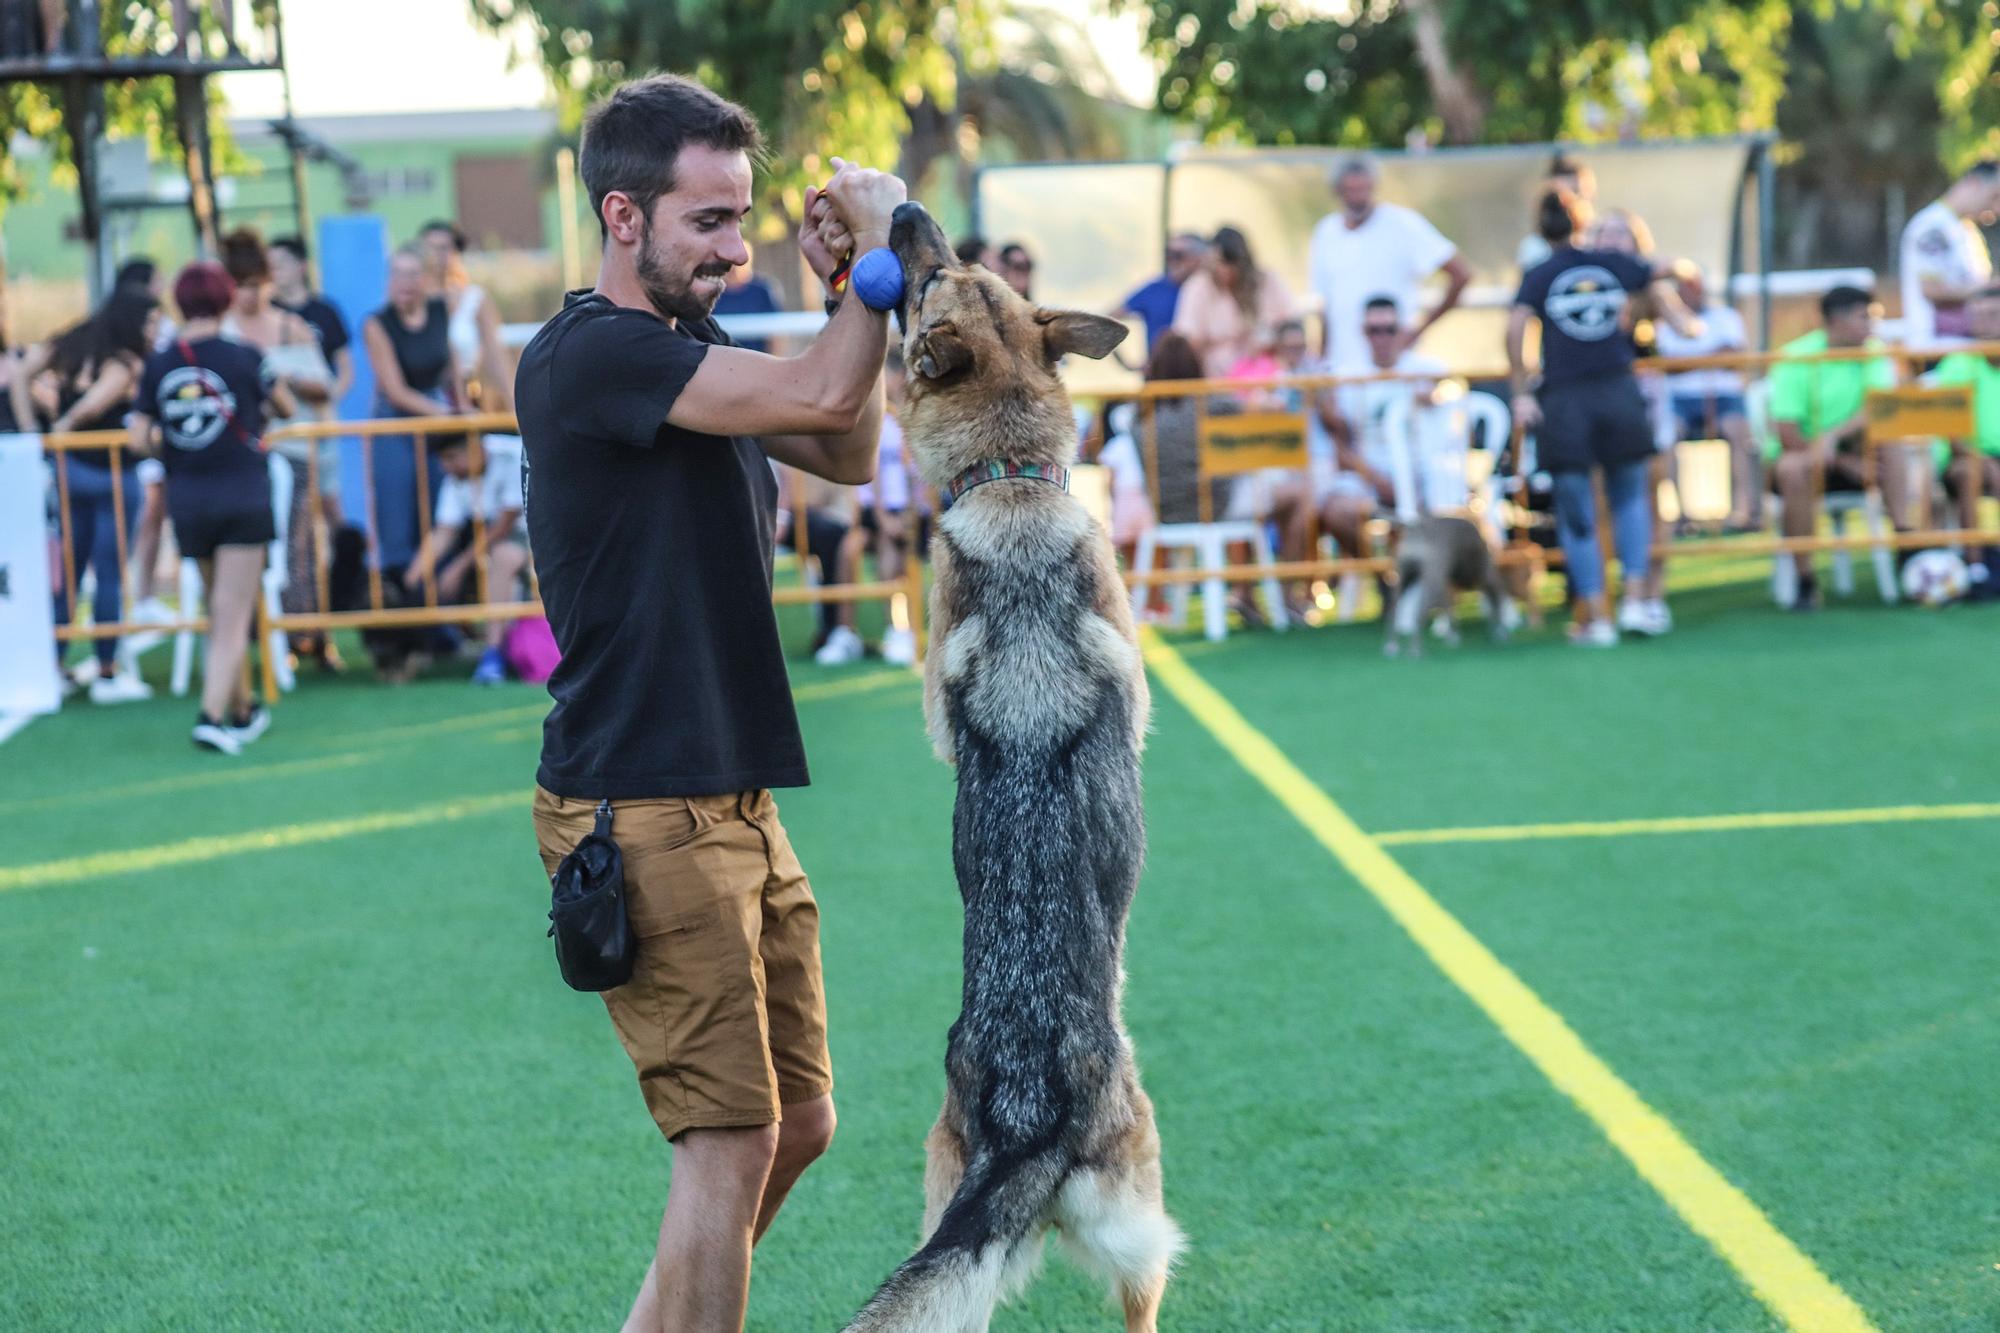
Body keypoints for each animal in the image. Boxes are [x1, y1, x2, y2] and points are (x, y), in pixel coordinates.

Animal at [836, 200, 1176, 1328]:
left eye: (954, 264)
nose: (903, 210)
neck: (1010, 478)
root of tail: (1028, 1120)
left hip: (942, 1195)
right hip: (1145, 1200)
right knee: (1143, 1299)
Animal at [1384, 508, 1520, 652]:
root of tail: (1416, 527)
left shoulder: (1450, 585)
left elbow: (1450, 608)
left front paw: (1452, 635)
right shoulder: (1487, 575)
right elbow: (1496, 602)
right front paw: (1500, 631)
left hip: (1404, 579)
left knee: (1392, 610)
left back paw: (1392, 645)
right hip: (1434, 581)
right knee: (1420, 612)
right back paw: (1416, 649)